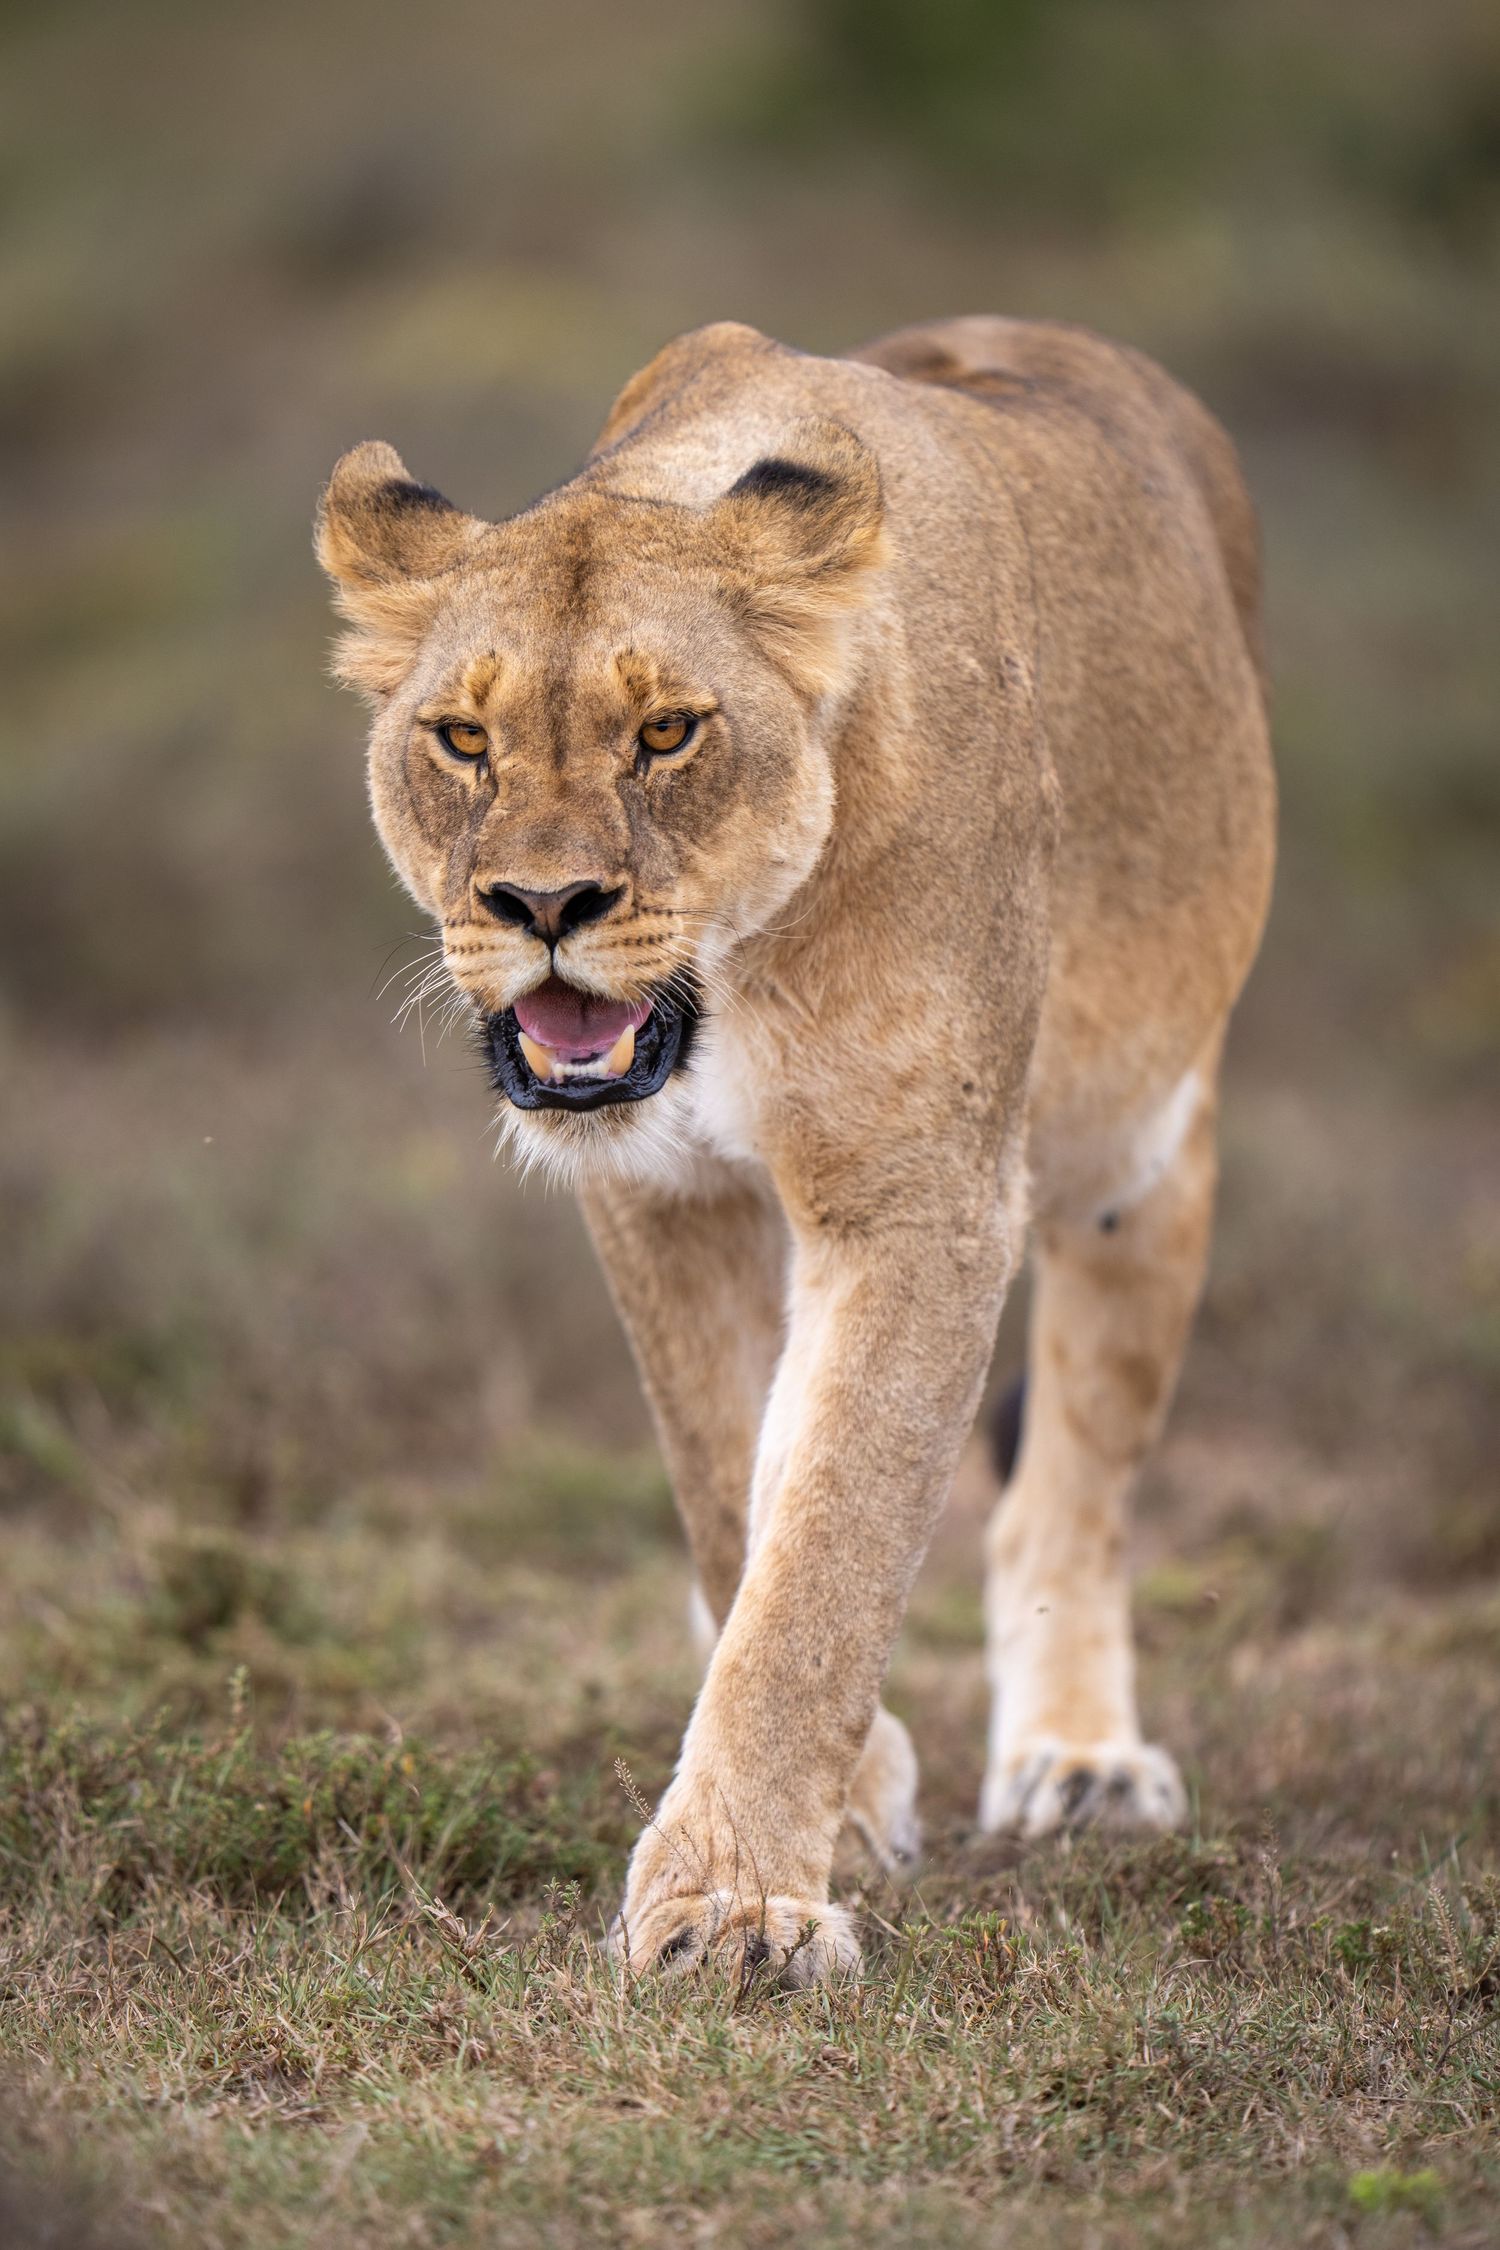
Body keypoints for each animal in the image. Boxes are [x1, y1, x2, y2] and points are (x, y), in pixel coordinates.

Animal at [316, 316, 1275, 1984]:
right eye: (462, 739)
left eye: (666, 731)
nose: (542, 905)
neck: (731, 980)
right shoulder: (659, 1193)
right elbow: (735, 1497)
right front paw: (843, 1806)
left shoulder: (923, 1198)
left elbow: (829, 1542)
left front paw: (737, 1905)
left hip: (1143, 1148)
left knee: (1071, 1484)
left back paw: (1081, 1760)